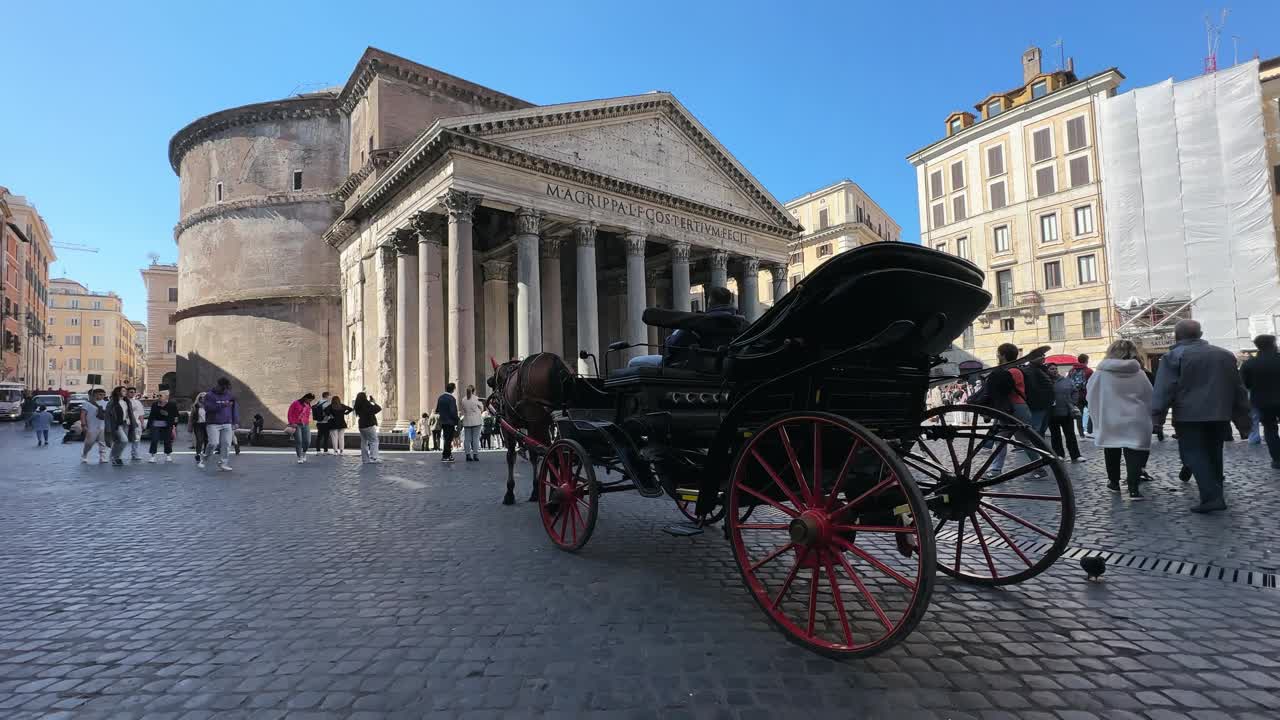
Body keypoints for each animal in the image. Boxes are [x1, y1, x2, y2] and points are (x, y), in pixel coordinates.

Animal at [483, 351, 576, 502]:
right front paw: (535, 489)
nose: (494, 403)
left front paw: (510, 492)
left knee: (550, 454)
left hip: (539, 423)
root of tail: (557, 364)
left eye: (493, 381)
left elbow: (511, 455)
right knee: (556, 453)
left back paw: (555, 494)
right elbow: (533, 455)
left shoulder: (509, 425)